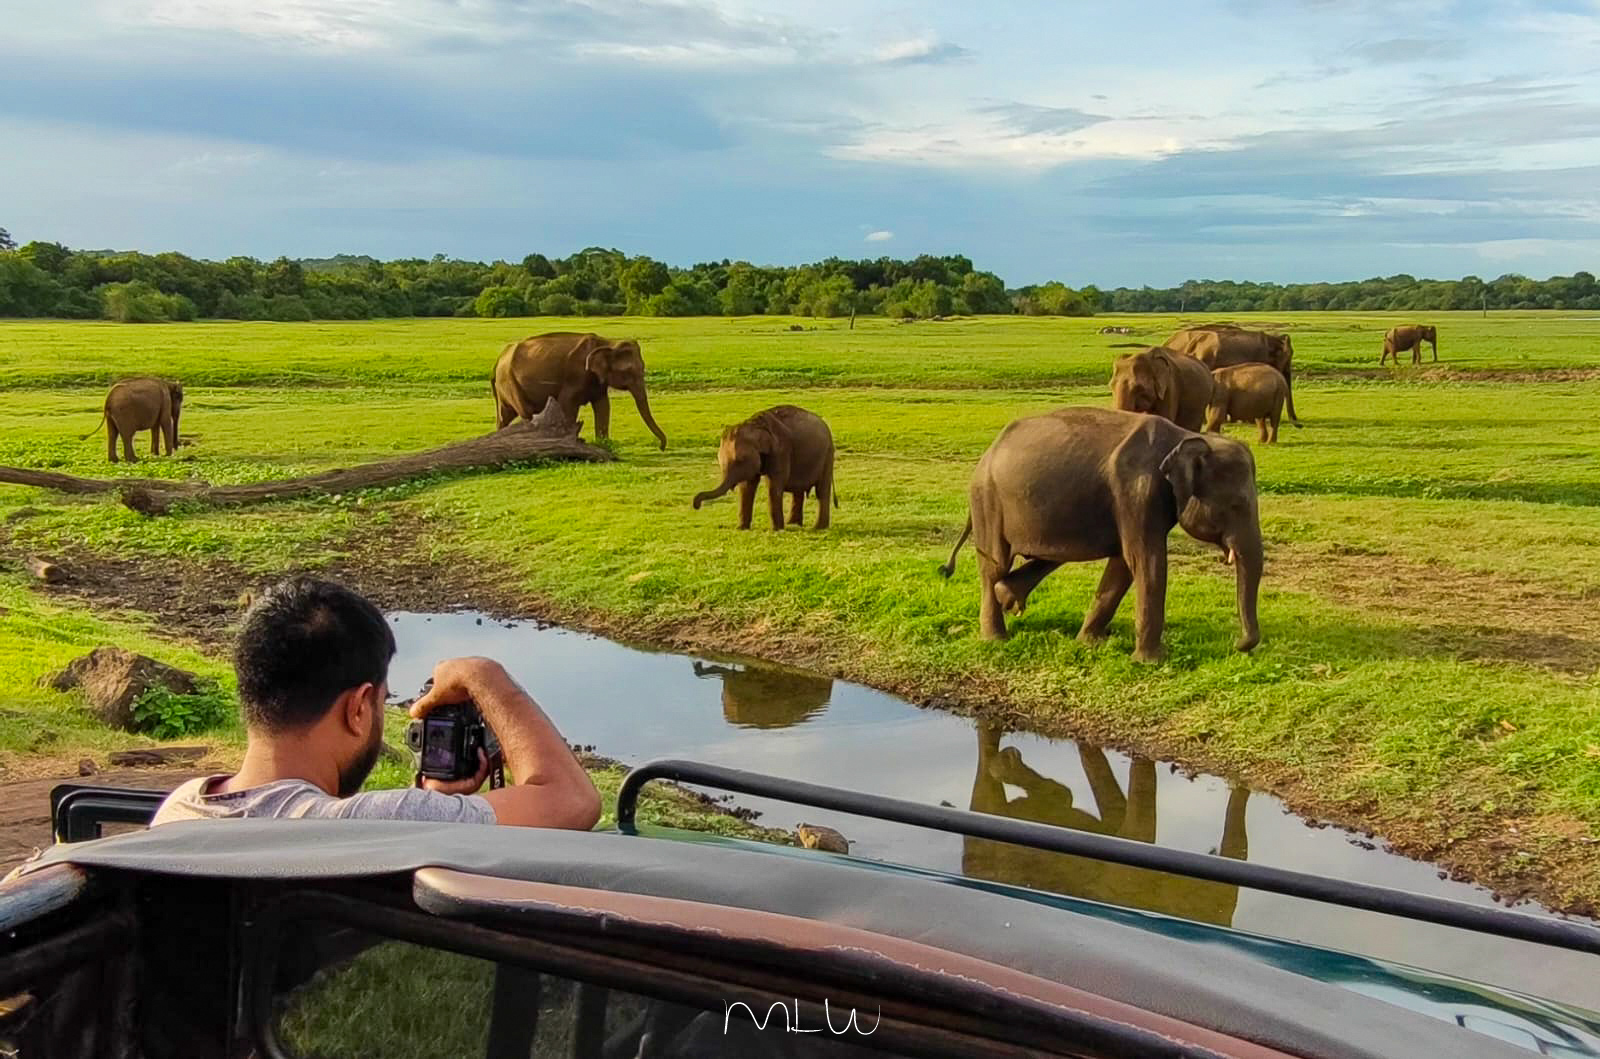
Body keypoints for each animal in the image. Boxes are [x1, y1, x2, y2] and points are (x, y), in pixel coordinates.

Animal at [486, 332, 662, 447]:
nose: (662, 446)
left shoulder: (596, 381)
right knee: (525, 413)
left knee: (504, 416)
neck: (607, 342)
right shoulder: (575, 376)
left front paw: (603, 443)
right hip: (510, 382)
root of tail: (498, 360)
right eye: (628, 372)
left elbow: (603, 406)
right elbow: (567, 405)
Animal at [688, 404, 838, 531]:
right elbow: (747, 486)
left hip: (828, 454)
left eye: (740, 460)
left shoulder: (781, 451)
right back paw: (793, 524)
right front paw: (741, 528)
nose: (696, 505)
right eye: (719, 460)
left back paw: (818, 527)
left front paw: (776, 530)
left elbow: (773, 486)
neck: (754, 424)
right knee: (798, 491)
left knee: (821, 491)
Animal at [934, 407, 1260, 665]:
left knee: (1046, 557)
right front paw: (1150, 662)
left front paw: (1090, 643)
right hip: (988, 500)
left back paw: (1008, 598)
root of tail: (987, 453)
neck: (1184, 437)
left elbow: (1123, 564)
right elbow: (1146, 562)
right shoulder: (1136, 492)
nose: (1238, 646)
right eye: (1236, 505)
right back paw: (995, 638)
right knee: (994, 565)